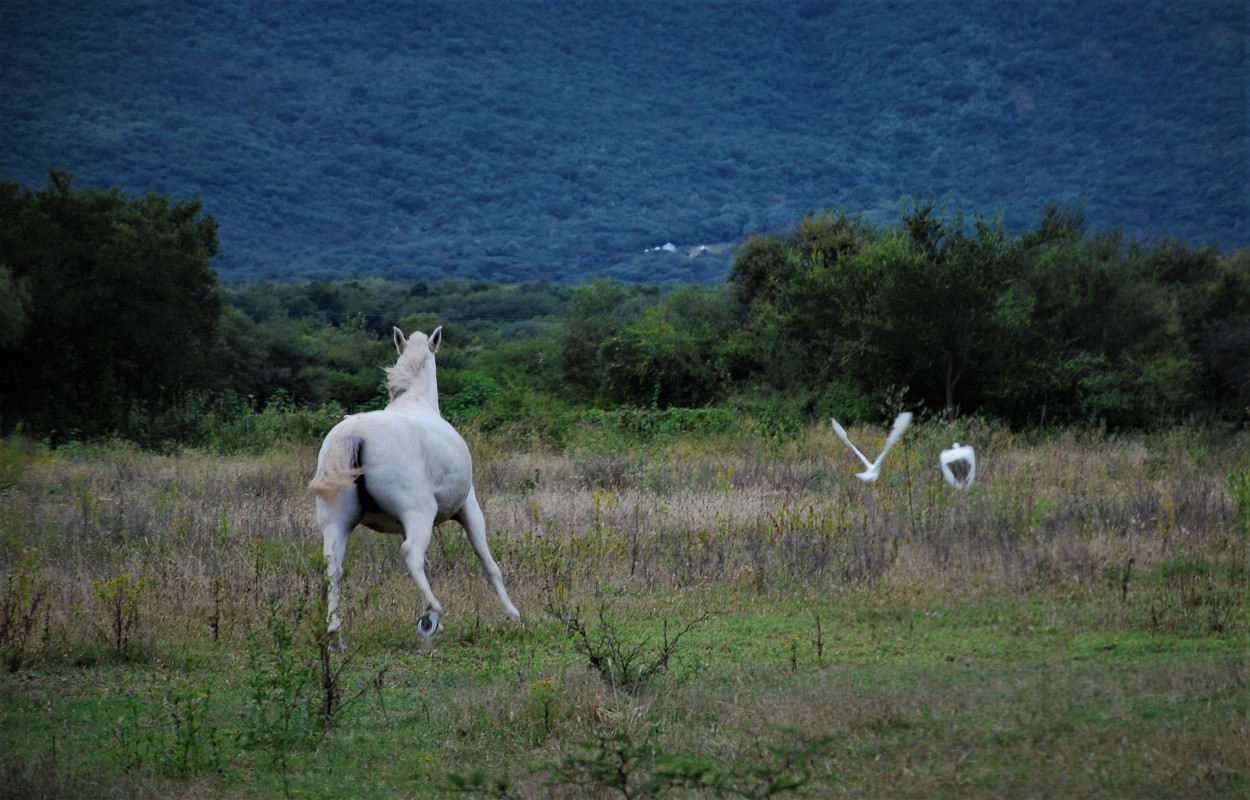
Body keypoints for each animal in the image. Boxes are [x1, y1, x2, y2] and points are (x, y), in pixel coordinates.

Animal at [310, 327, 520, 645]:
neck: (416, 400)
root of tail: (354, 433)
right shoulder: (468, 508)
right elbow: (487, 562)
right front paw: (512, 613)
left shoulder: (401, 523)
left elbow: (429, 564)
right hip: (419, 512)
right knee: (410, 552)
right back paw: (433, 611)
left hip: (338, 521)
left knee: (333, 567)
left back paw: (336, 634)